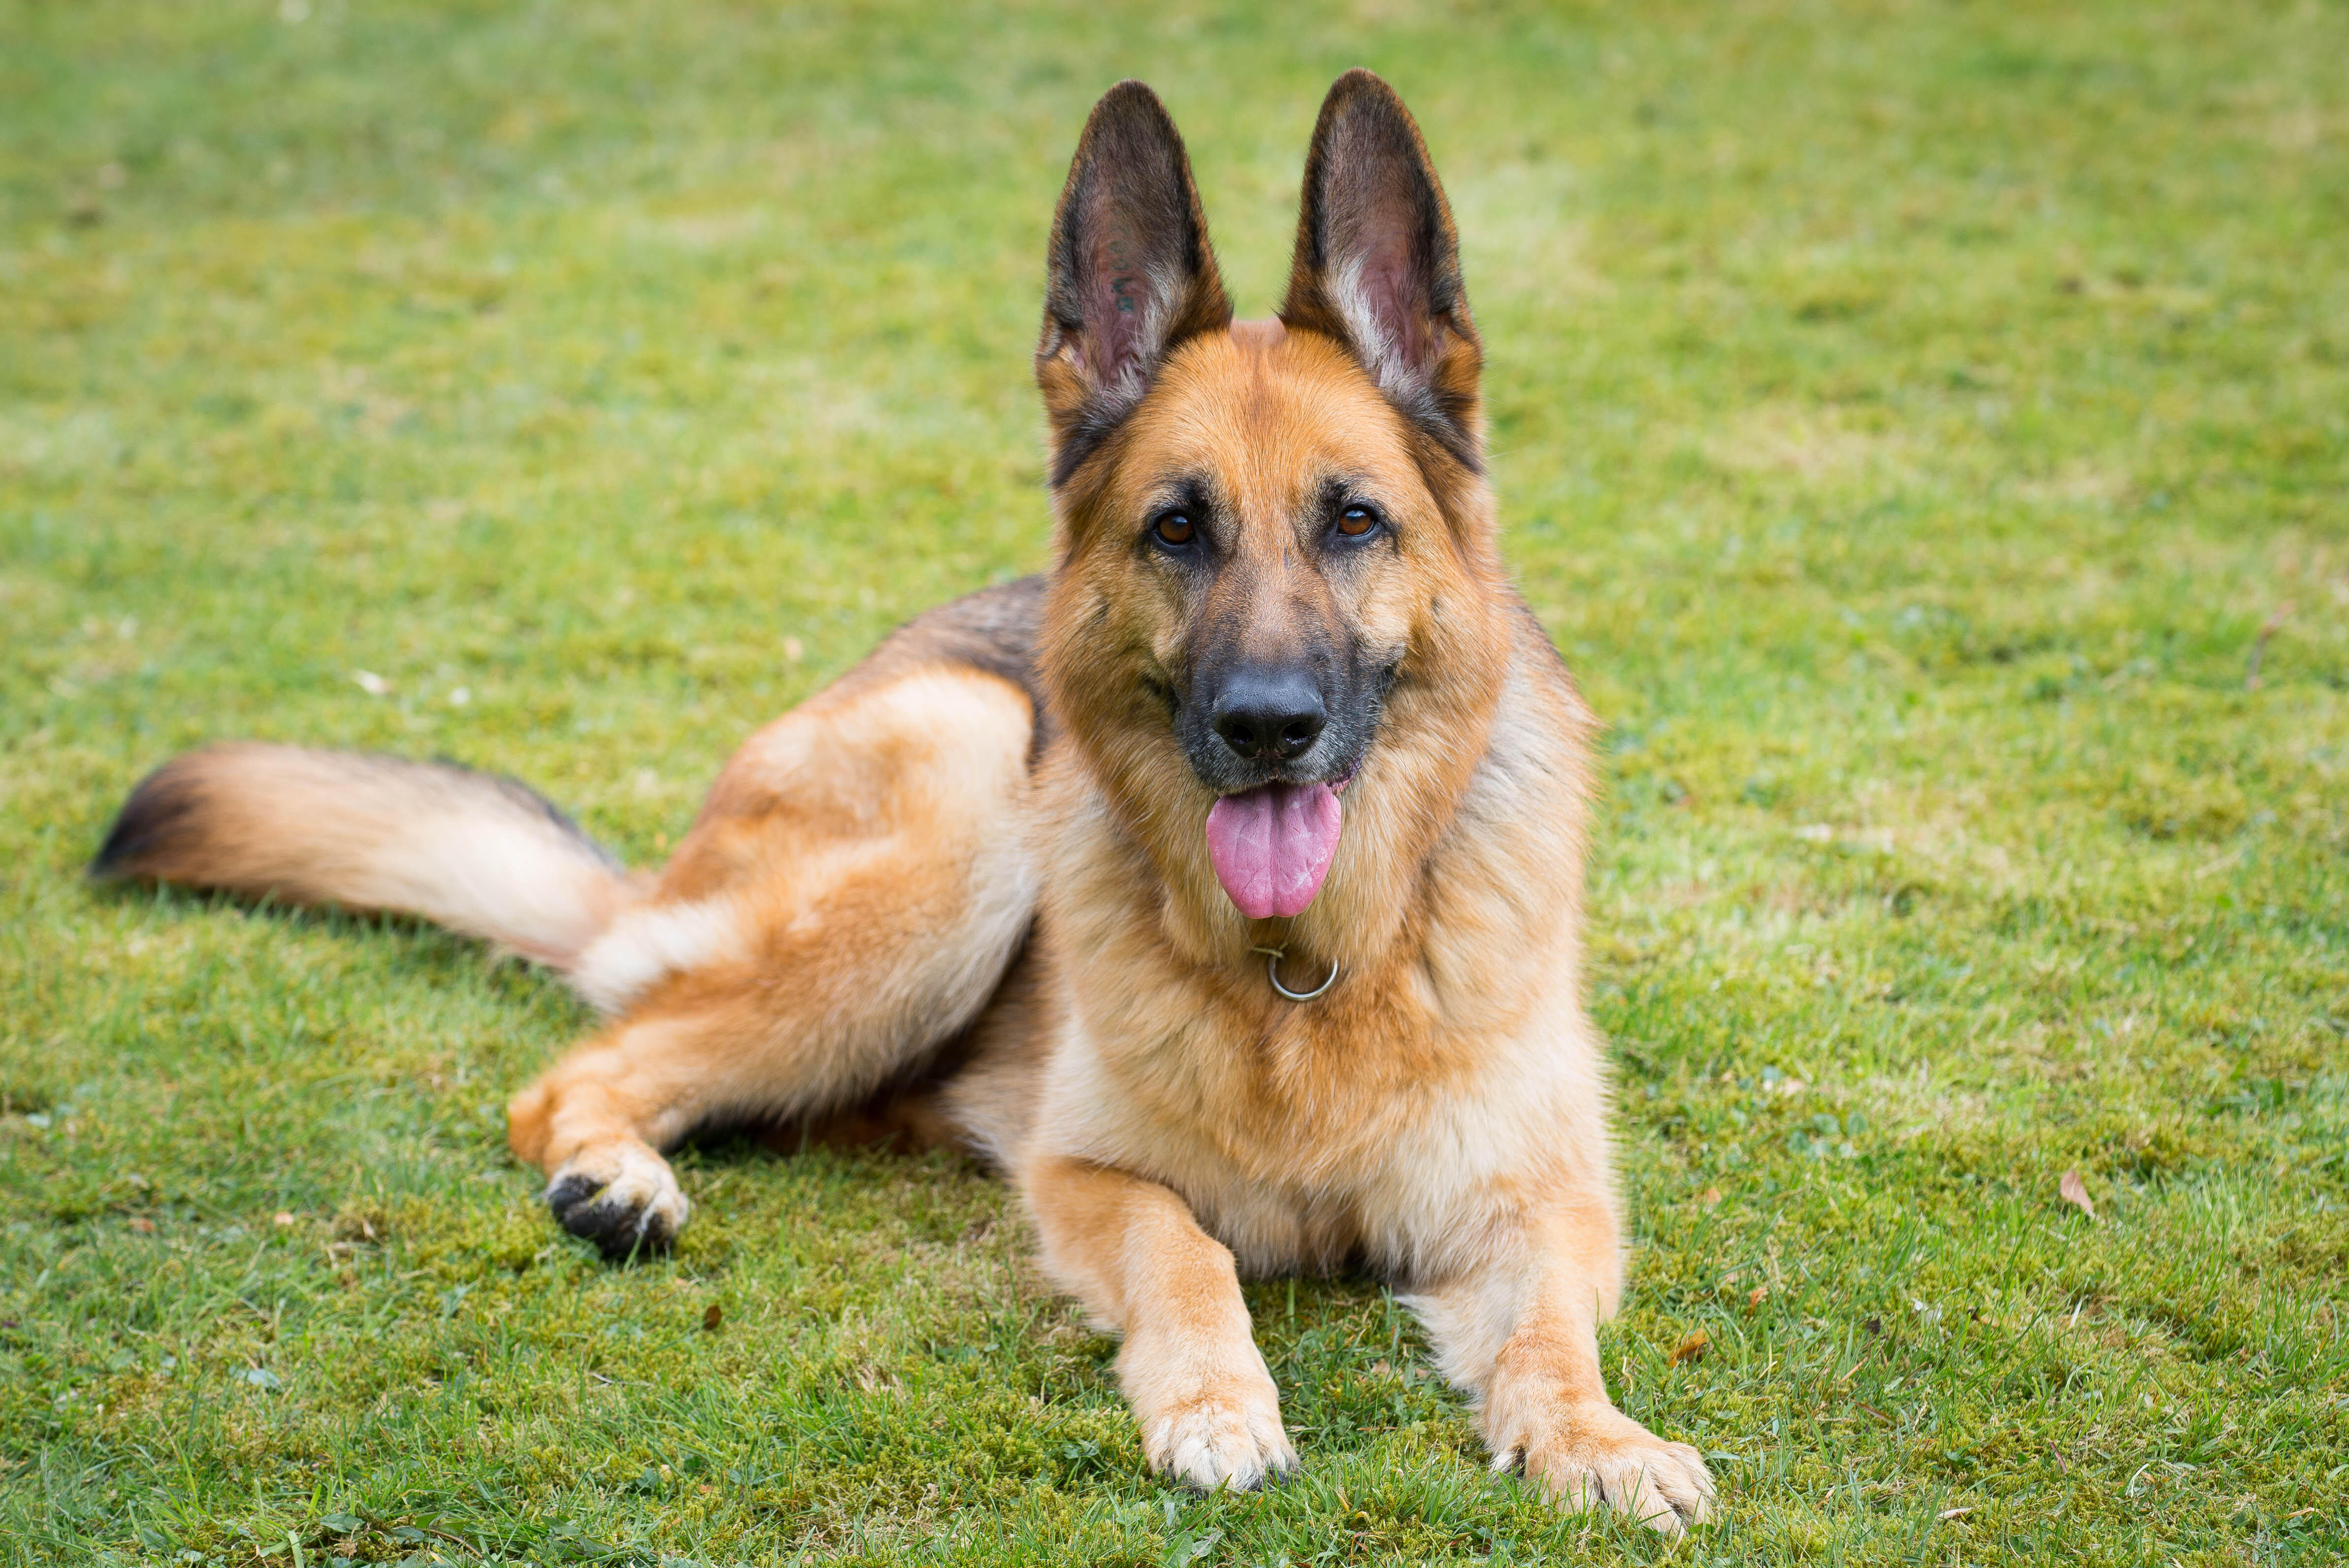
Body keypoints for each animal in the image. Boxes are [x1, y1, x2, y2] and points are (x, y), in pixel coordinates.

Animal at [96, 76, 1710, 1530]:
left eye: (1356, 519)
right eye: (1177, 528)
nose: (1265, 727)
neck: (1302, 969)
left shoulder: (1543, 1201)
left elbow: (1550, 1330)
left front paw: (1596, 1437)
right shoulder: (1085, 1171)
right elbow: (1187, 1250)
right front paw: (1213, 1398)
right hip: (965, 793)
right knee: (577, 1072)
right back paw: (614, 1173)